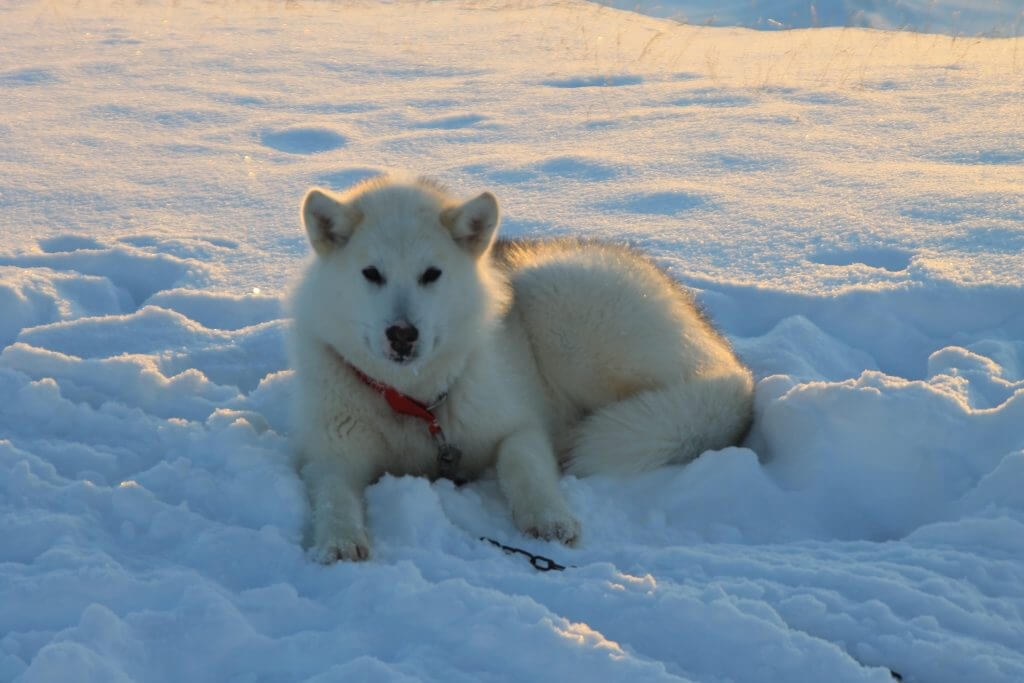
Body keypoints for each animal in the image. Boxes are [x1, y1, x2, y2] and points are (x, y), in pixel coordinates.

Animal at [288, 175, 753, 561]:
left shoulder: (519, 424)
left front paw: (547, 517)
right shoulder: (331, 455)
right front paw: (339, 539)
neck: (415, 403)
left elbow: (523, 465)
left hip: (557, 305)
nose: (402, 334)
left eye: (431, 274)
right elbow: (333, 495)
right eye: (371, 273)